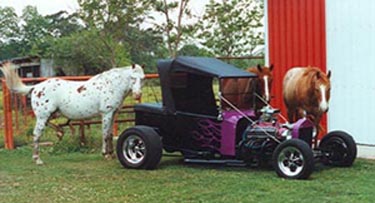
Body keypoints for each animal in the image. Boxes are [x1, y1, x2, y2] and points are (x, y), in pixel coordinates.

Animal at [0, 62, 145, 164]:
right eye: (132, 78)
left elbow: (109, 134)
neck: (111, 85)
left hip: (51, 114)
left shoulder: (113, 114)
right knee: (37, 134)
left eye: (142, 78)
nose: (137, 95)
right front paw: (105, 154)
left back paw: (59, 132)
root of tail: (36, 87)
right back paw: (38, 159)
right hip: (42, 116)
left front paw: (112, 154)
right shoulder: (106, 113)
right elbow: (104, 134)